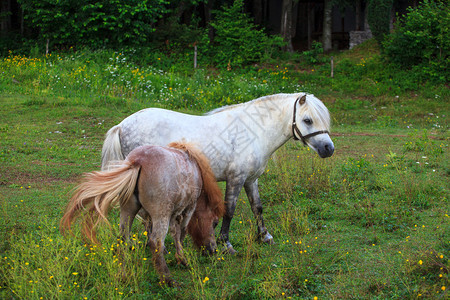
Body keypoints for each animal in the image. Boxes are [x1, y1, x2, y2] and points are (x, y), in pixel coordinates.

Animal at [59, 143, 225, 286]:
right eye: (215, 222)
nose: (213, 250)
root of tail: (138, 161)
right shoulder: (188, 209)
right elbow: (181, 233)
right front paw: (182, 259)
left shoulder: (169, 214)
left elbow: (169, 231)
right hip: (160, 214)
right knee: (156, 242)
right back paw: (168, 280)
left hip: (128, 211)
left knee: (123, 238)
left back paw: (123, 275)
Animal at [102, 93, 334, 253]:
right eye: (307, 120)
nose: (328, 149)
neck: (253, 131)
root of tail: (121, 125)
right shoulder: (236, 179)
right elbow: (229, 210)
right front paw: (225, 243)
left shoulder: (251, 180)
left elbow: (257, 207)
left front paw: (264, 236)